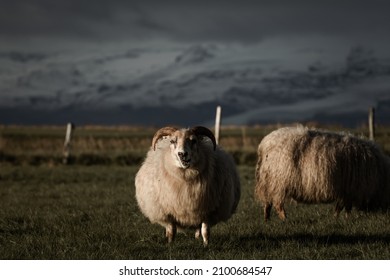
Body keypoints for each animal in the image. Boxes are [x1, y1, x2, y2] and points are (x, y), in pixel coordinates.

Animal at [254, 125, 390, 221]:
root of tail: (263, 144)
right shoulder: (349, 191)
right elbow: (342, 207)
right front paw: (339, 218)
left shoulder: (347, 191)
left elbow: (344, 207)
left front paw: (342, 219)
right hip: (278, 182)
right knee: (278, 204)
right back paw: (284, 219)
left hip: (269, 182)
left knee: (268, 203)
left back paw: (267, 220)